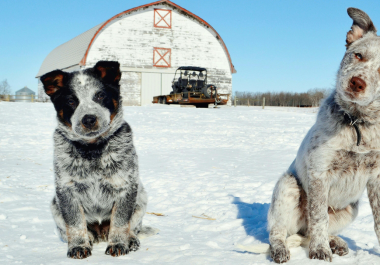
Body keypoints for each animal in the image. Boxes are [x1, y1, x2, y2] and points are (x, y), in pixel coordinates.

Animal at [41, 60, 147, 258]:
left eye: (100, 95)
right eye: (71, 101)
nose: (89, 119)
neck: (92, 150)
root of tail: (100, 231)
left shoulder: (126, 186)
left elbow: (120, 221)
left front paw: (118, 244)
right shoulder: (66, 190)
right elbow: (75, 223)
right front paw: (78, 246)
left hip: (141, 198)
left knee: (132, 226)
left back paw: (131, 240)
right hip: (54, 205)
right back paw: (89, 238)